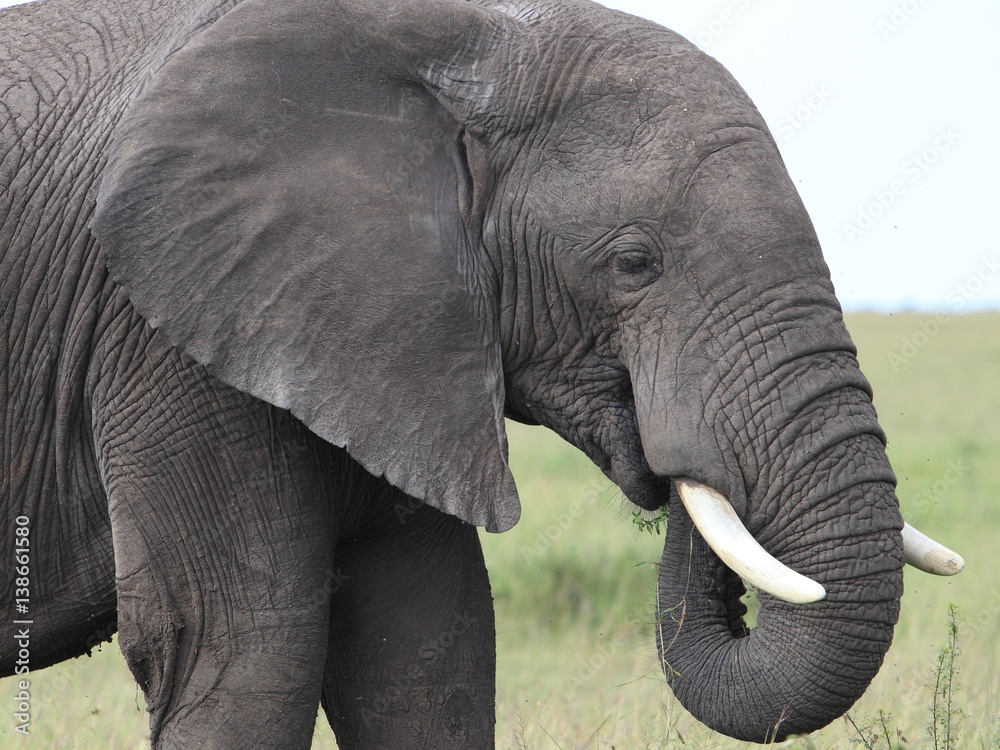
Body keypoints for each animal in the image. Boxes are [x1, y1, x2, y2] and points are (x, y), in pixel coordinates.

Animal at [0, 0, 964, 745]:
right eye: (634, 264)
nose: (672, 454)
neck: (468, 43)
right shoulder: (161, 329)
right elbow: (242, 651)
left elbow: (430, 646)